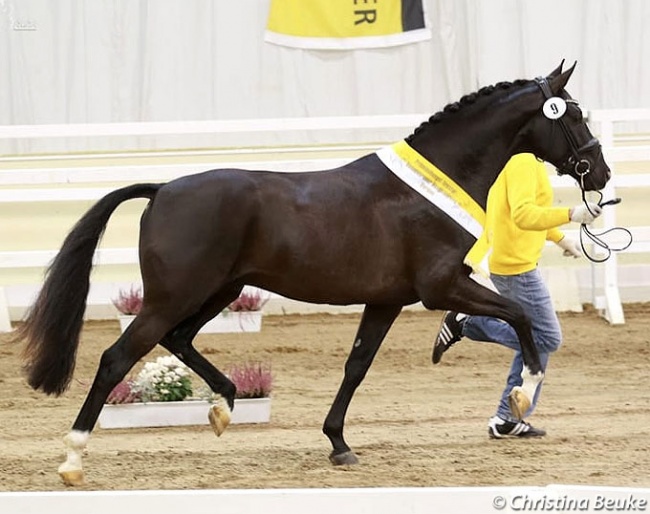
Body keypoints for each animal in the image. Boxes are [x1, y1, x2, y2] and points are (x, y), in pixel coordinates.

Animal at [12, 62, 608, 482]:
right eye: (573, 114)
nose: (599, 173)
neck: (431, 186)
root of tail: (162, 190)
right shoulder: (440, 288)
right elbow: (520, 315)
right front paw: (522, 396)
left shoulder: (387, 299)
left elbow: (356, 366)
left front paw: (339, 444)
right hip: (172, 297)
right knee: (118, 358)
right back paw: (73, 460)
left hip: (218, 290)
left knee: (179, 340)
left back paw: (225, 406)